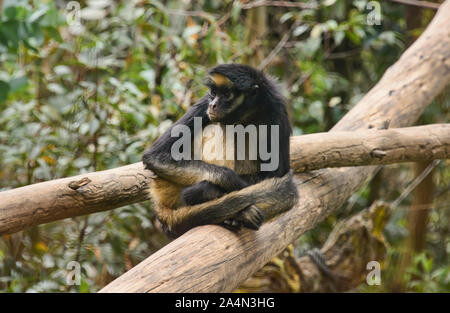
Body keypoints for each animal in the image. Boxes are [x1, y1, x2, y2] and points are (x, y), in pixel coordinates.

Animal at [144, 63, 298, 236]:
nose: (213, 105)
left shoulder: (276, 108)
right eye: (213, 93)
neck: (246, 116)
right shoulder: (204, 102)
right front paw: (224, 187)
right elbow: (155, 156)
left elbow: (275, 174)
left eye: (226, 94)